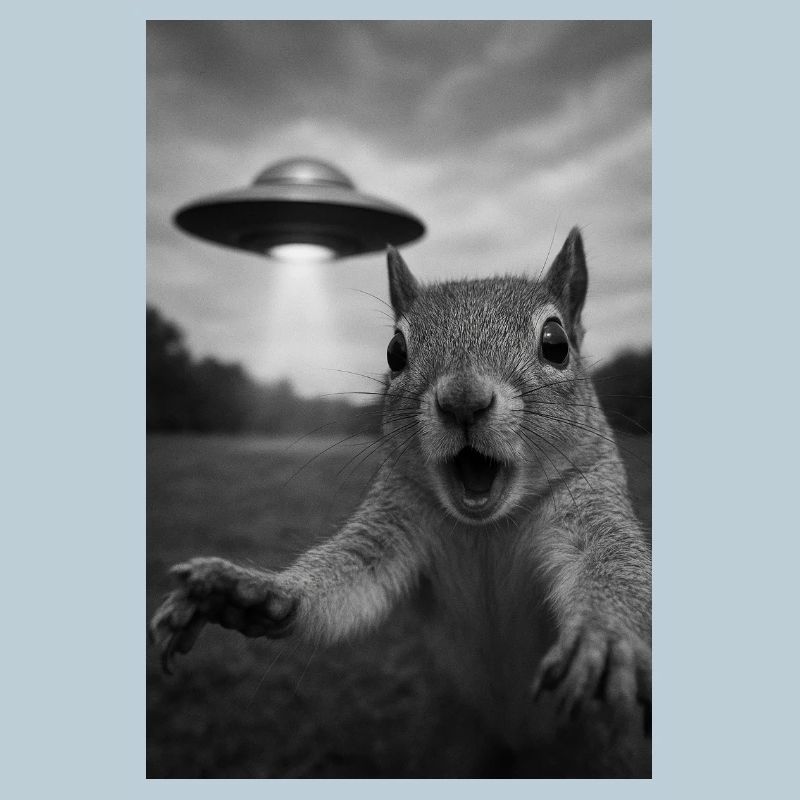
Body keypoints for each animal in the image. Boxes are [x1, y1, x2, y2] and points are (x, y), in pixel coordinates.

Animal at [149, 227, 652, 778]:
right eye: (394, 350)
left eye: (556, 344)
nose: (463, 400)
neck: (488, 527)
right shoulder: (393, 519)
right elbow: (350, 578)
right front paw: (250, 591)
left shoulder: (592, 501)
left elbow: (614, 564)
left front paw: (605, 636)